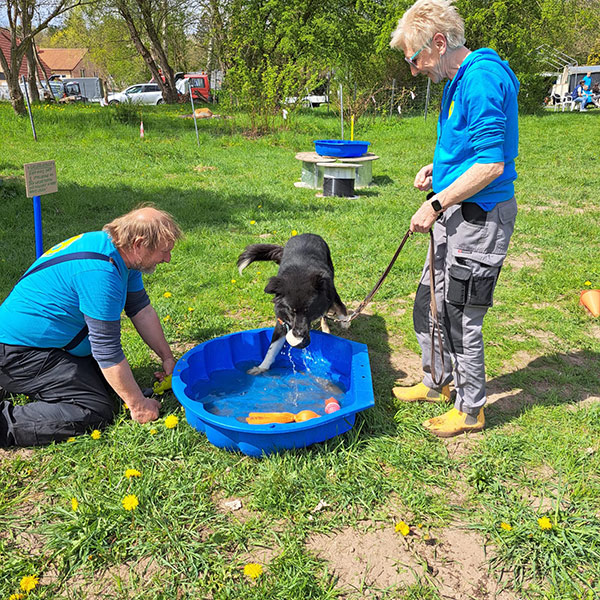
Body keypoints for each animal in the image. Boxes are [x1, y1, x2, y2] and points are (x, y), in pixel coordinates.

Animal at [238, 232, 350, 372]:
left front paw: (345, 321)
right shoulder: (282, 319)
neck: (299, 275)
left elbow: (339, 305)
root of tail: (306, 234)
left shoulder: (329, 290)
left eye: (308, 310)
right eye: (291, 311)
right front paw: (261, 367)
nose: (298, 333)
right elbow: (272, 347)